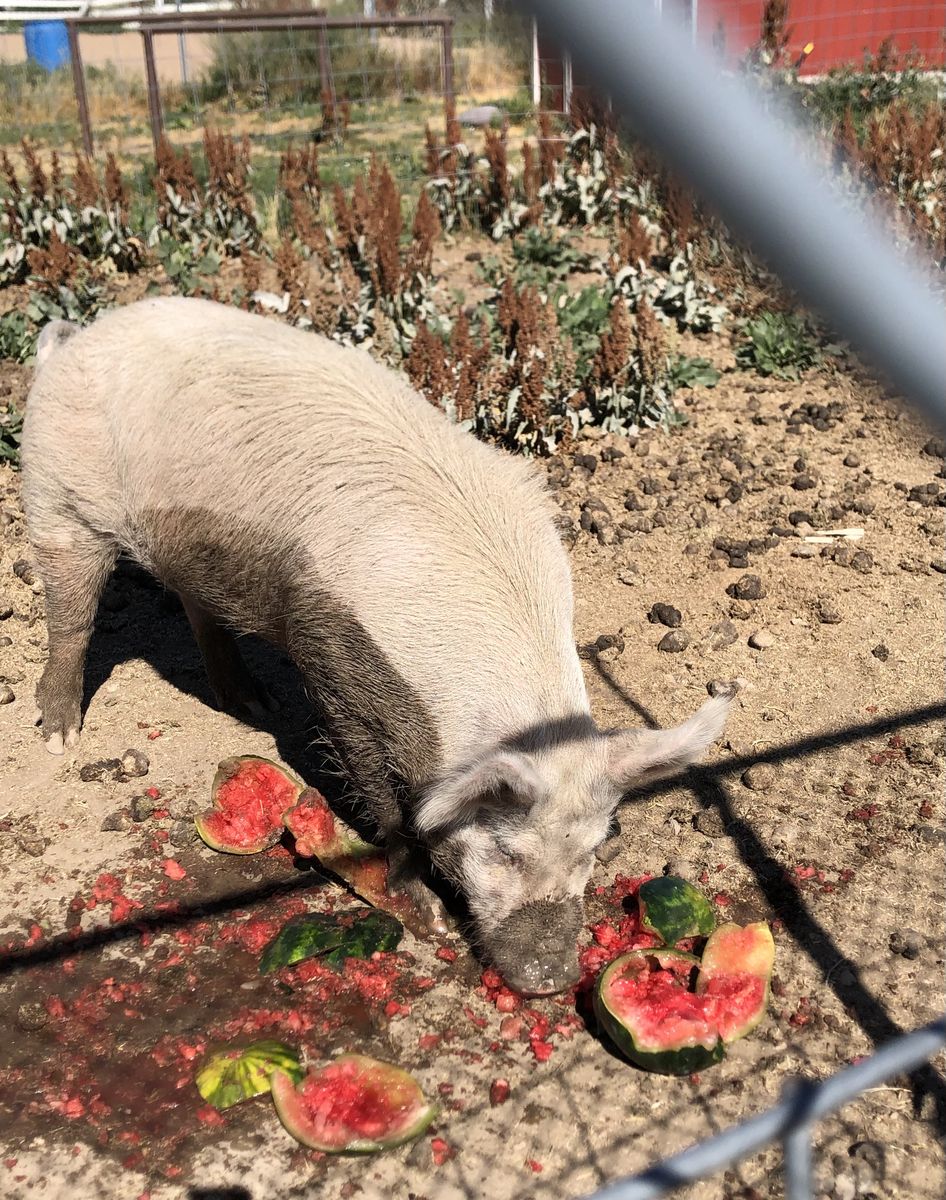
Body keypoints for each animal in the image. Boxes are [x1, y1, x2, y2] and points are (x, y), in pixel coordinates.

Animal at [21, 296, 736, 995]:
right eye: (506, 850)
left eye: (592, 850)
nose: (552, 979)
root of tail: (76, 338)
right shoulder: (333, 659)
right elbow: (381, 793)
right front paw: (427, 916)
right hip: (57, 497)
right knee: (71, 617)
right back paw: (59, 737)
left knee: (199, 606)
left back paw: (250, 704)